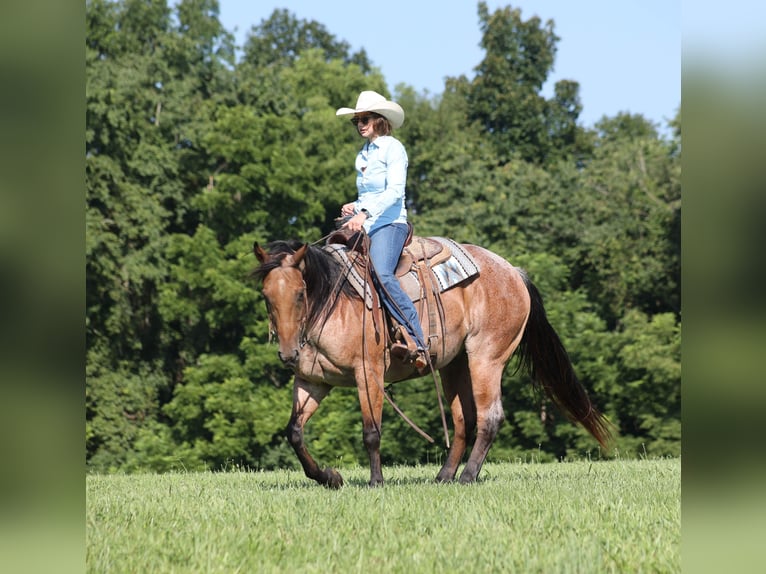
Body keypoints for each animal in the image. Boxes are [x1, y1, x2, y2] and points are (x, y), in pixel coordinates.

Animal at [252, 238, 611, 487]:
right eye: (266, 296)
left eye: (300, 294)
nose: (288, 354)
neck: (335, 303)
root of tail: (514, 272)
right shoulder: (313, 381)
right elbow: (294, 432)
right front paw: (329, 477)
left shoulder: (368, 372)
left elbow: (371, 431)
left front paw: (375, 482)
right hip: (455, 365)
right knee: (464, 420)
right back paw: (444, 476)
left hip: (486, 358)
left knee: (490, 417)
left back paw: (467, 476)